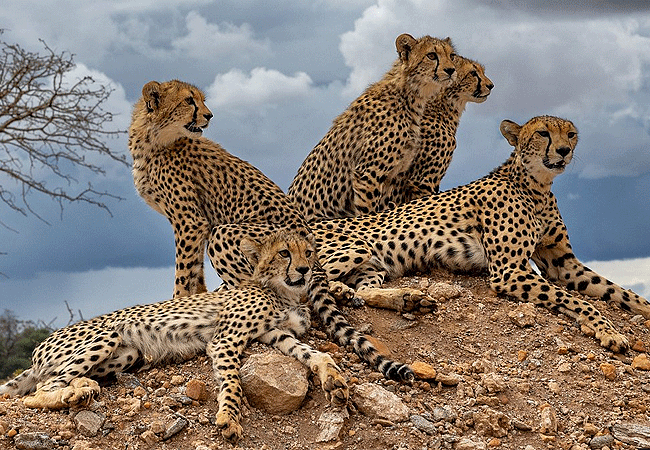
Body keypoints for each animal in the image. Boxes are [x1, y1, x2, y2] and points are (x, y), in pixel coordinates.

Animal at [0, 232, 350, 442]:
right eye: (284, 253)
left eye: (309, 252)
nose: (304, 270)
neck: (281, 292)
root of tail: (37, 349)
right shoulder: (225, 339)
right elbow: (233, 383)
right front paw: (228, 418)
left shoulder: (274, 334)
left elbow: (314, 353)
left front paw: (333, 380)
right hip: (107, 336)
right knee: (38, 390)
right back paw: (74, 394)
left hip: (129, 353)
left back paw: (81, 387)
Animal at [126, 80, 410, 384]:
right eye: (189, 101)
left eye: (199, 100)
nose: (209, 115)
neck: (152, 139)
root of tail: (308, 241)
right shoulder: (192, 225)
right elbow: (195, 276)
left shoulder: (191, 222)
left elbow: (183, 275)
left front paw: (179, 305)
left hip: (226, 235)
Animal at [288, 32, 456, 221]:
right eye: (432, 56)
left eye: (452, 56)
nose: (451, 70)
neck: (409, 96)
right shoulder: (367, 174)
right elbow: (369, 213)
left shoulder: (393, 178)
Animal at [308, 115, 648, 352]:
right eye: (543, 133)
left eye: (571, 133)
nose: (564, 150)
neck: (537, 187)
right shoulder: (510, 271)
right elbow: (578, 301)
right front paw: (608, 331)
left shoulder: (563, 264)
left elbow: (620, 292)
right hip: (357, 246)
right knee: (308, 282)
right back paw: (340, 290)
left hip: (373, 265)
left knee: (363, 289)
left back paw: (406, 299)